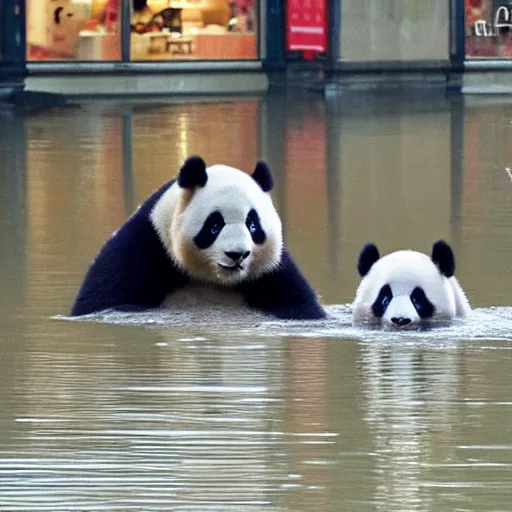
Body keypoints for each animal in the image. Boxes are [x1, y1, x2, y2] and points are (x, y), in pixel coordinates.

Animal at [70, 155, 326, 320]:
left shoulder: (272, 271)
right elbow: (103, 297)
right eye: (214, 225)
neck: (215, 280)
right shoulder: (145, 246)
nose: (237, 255)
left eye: (252, 224)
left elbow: (300, 304)